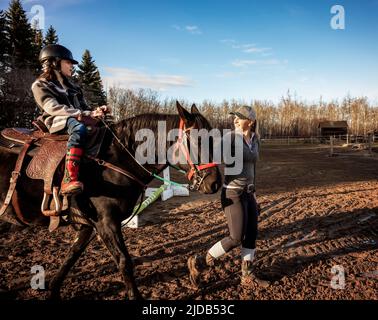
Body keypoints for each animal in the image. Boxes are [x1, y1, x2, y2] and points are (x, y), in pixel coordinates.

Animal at [0, 103, 221, 300]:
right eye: (198, 141)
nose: (215, 183)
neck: (115, 162)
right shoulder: (106, 223)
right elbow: (124, 261)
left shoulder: (89, 226)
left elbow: (72, 255)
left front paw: (54, 290)